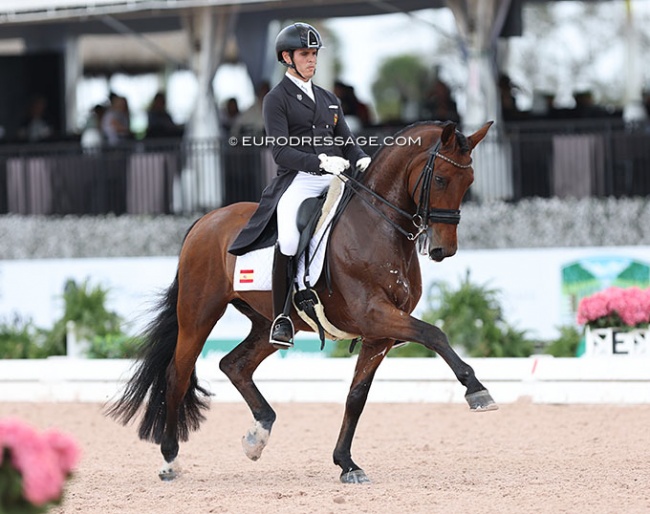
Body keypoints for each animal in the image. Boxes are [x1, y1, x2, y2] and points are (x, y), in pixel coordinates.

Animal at [109, 118, 498, 482]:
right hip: (198, 315)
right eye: (442, 179)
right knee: (178, 374)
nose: (443, 249)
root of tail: (206, 220)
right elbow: (435, 334)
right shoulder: (374, 315)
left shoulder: (380, 334)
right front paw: (477, 391)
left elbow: (357, 396)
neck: (377, 226)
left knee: (235, 364)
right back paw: (170, 459)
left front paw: (346, 463)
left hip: (271, 323)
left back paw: (258, 435)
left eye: (470, 182)